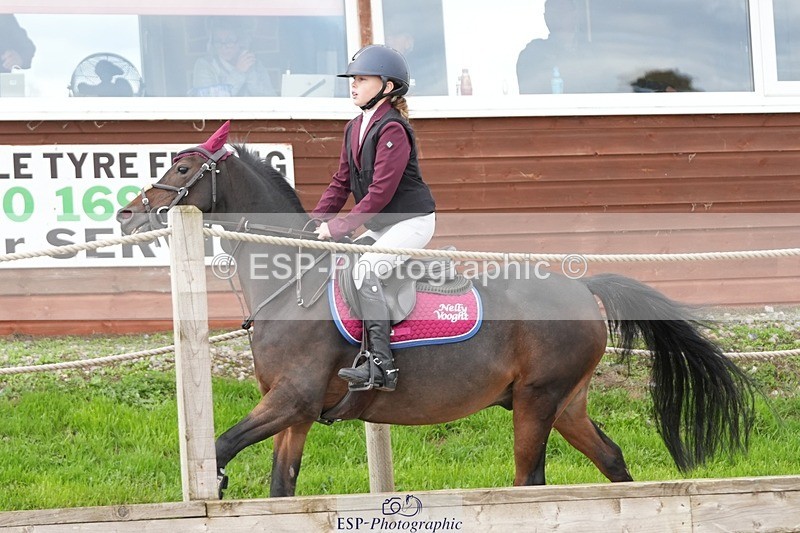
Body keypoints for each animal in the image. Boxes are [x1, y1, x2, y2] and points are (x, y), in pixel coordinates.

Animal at [117, 121, 756, 498]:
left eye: (182, 168)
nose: (126, 216)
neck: (293, 282)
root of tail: (584, 289)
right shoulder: (293, 413)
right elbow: (281, 488)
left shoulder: (292, 399)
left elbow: (222, 445)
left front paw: (215, 482)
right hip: (566, 402)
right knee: (613, 463)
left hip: (537, 400)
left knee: (531, 480)